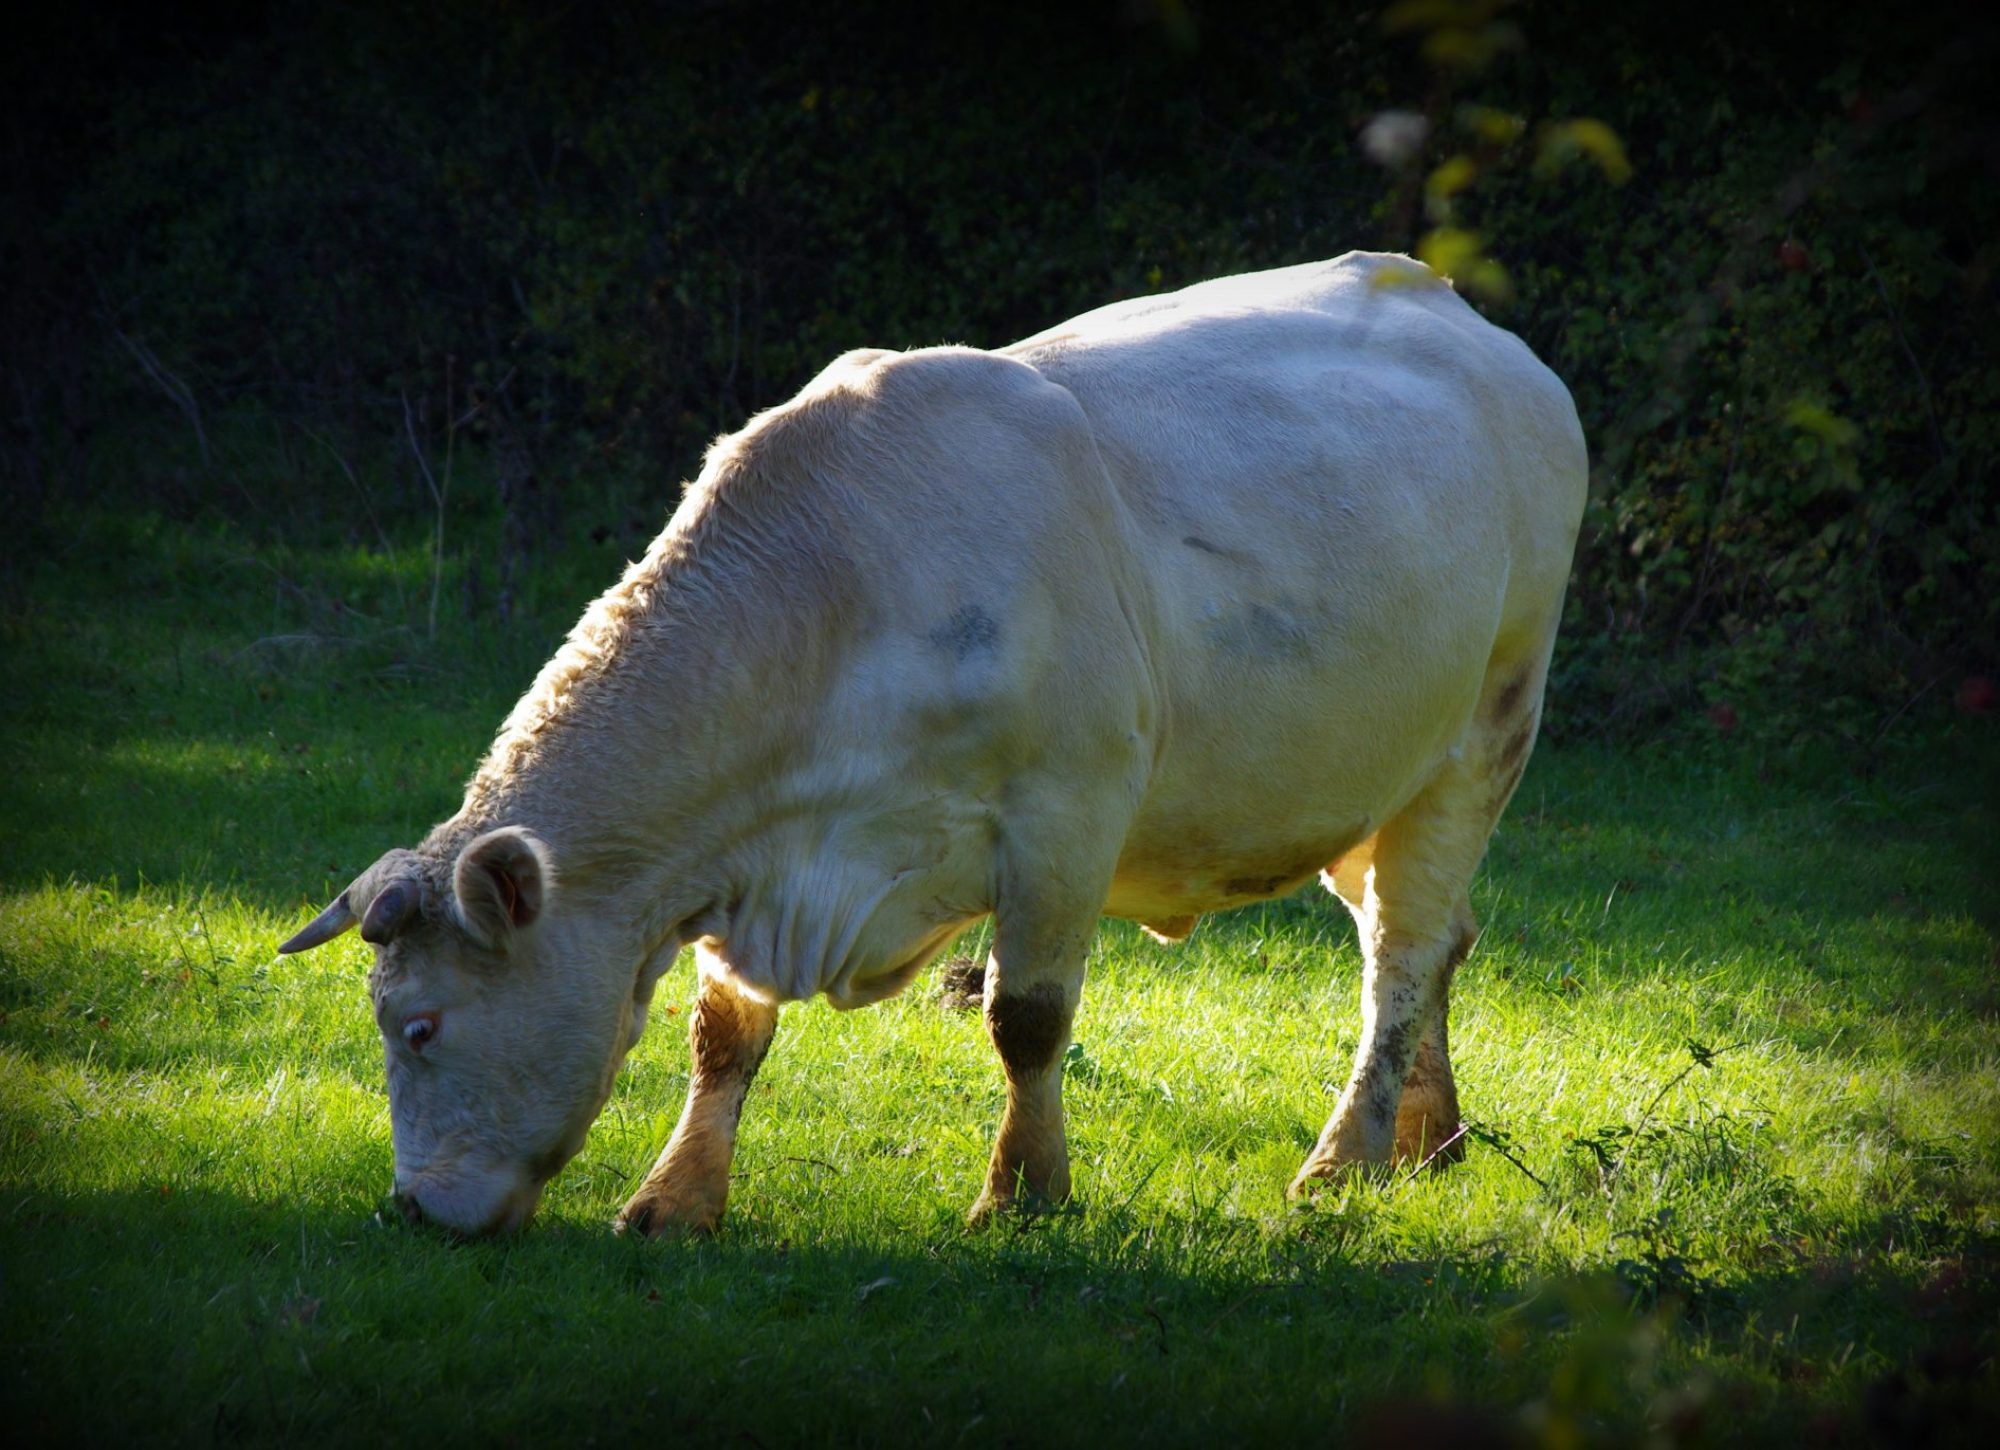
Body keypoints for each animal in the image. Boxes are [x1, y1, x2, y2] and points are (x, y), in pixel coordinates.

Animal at [282, 258, 1592, 1232]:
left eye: (419, 1025)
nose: (409, 1208)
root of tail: (1464, 315)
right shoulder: (738, 850)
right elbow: (723, 1035)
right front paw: (676, 1198)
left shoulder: (1067, 811)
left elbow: (1029, 1018)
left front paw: (1024, 1194)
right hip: (1367, 784)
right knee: (1427, 935)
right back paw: (1429, 1136)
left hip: (1487, 729)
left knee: (1402, 953)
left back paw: (1346, 1158)